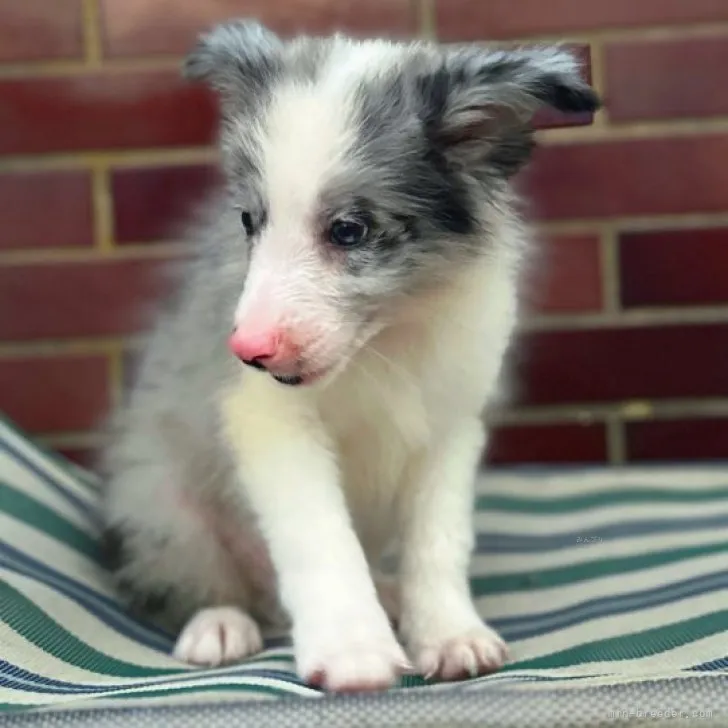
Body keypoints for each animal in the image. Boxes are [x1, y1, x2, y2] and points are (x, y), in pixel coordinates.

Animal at [99, 19, 600, 692]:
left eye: (349, 230)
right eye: (249, 220)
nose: (247, 350)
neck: (386, 341)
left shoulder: (450, 425)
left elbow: (439, 541)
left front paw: (449, 633)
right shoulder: (268, 423)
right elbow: (320, 539)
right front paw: (353, 651)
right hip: (159, 503)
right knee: (192, 581)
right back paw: (220, 625)